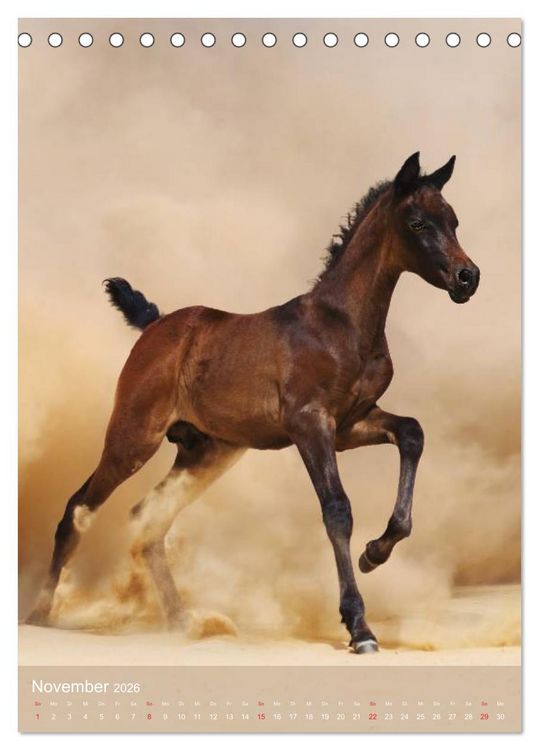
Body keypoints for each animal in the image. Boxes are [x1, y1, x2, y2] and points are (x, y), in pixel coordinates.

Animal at [26, 152, 480, 654]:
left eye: (454, 220)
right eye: (418, 223)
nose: (468, 277)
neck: (341, 324)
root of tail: (156, 324)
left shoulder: (350, 425)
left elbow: (412, 432)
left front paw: (375, 553)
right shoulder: (310, 425)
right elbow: (337, 510)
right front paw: (359, 626)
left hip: (206, 452)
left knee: (148, 519)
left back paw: (182, 621)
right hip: (133, 437)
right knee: (77, 509)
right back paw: (41, 614)